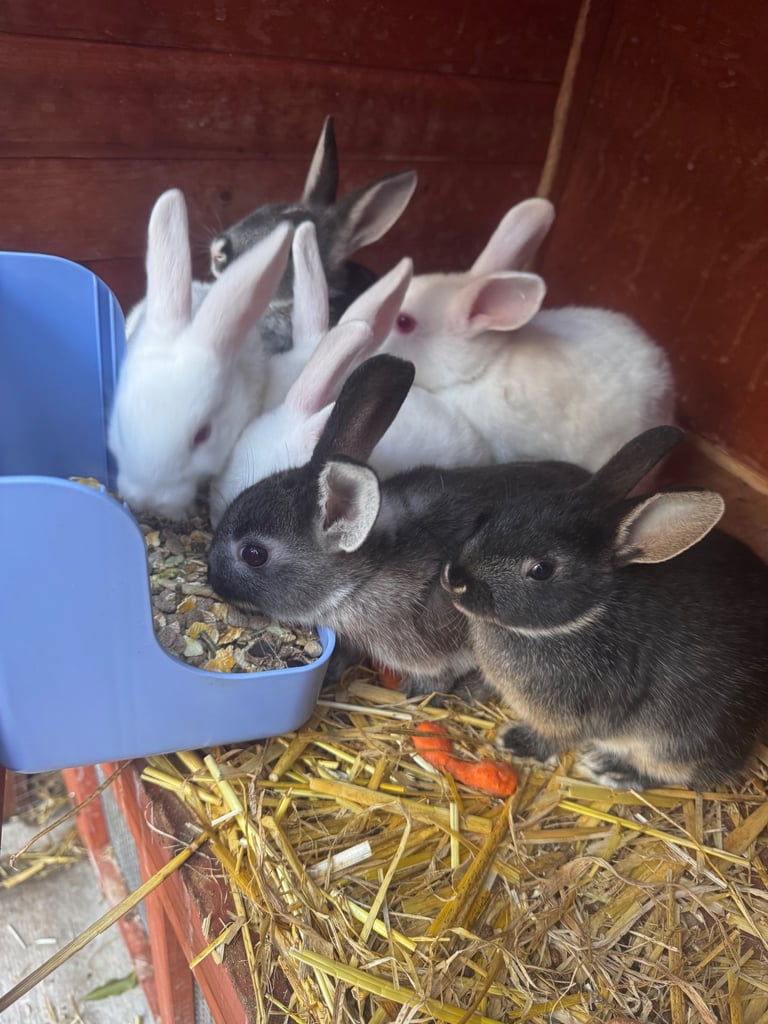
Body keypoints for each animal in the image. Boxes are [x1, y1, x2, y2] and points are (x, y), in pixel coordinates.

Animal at [441, 425, 768, 791]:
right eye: (494, 514)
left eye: (541, 570)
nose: (454, 578)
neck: (580, 618)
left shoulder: (574, 714)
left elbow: (557, 737)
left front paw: (515, 743)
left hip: (674, 740)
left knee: (686, 774)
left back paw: (613, 770)